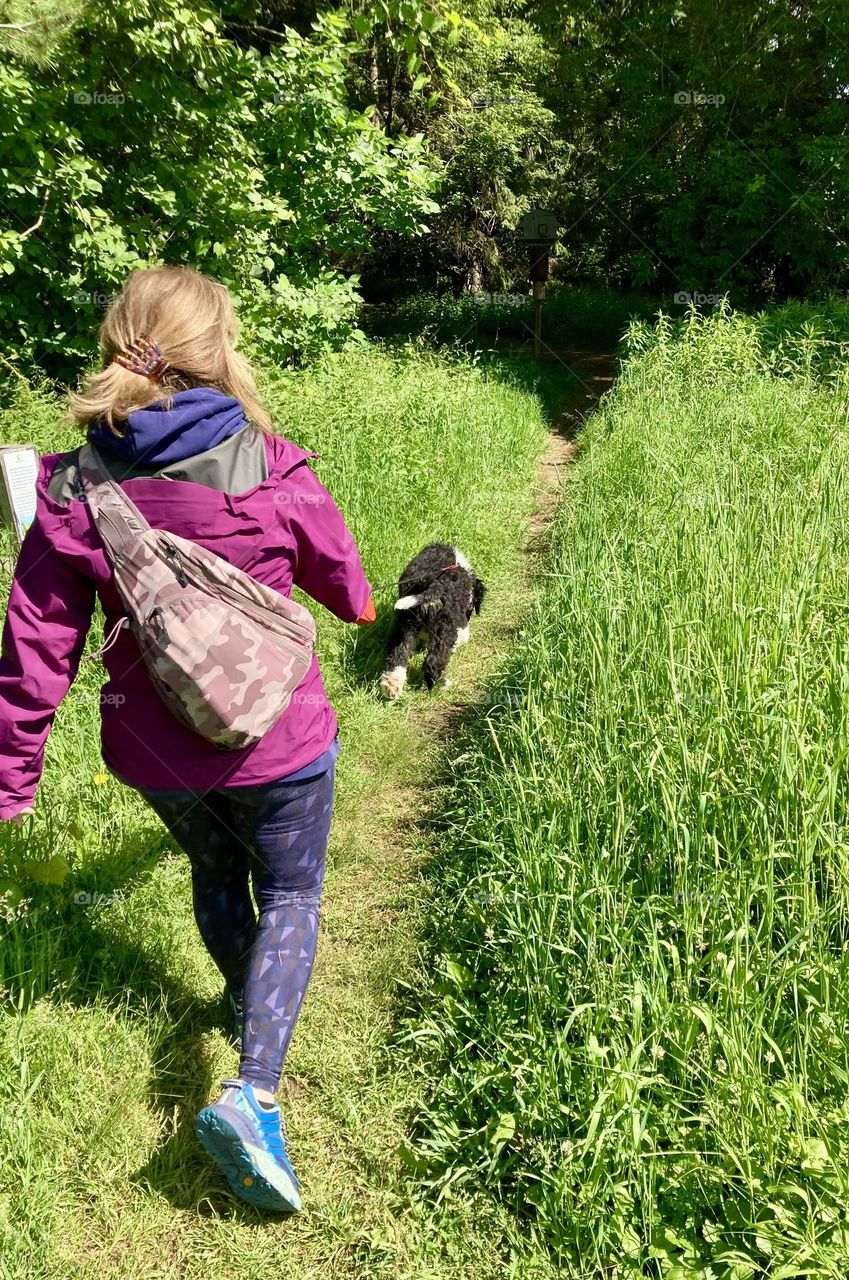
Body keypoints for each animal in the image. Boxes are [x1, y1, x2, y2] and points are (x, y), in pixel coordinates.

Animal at [381, 540, 489, 701]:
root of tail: (431, 583)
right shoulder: (459, 625)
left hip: (405, 625)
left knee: (398, 654)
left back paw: (391, 687)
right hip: (445, 630)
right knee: (433, 662)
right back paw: (438, 685)